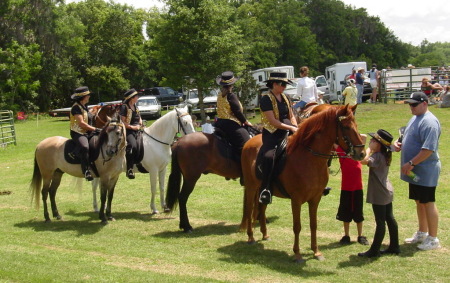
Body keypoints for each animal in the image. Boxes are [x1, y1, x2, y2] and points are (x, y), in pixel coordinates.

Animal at [241, 104, 364, 264]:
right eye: (346, 127)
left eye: (356, 125)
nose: (361, 153)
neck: (310, 158)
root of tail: (248, 143)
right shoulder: (296, 200)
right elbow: (297, 226)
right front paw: (298, 254)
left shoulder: (315, 199)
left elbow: (313, 224)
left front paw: (316, 252)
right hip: (251, 187)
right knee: (250, 209)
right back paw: (250, 237)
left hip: (263, 190)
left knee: (261, 208)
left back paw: (265, 234)